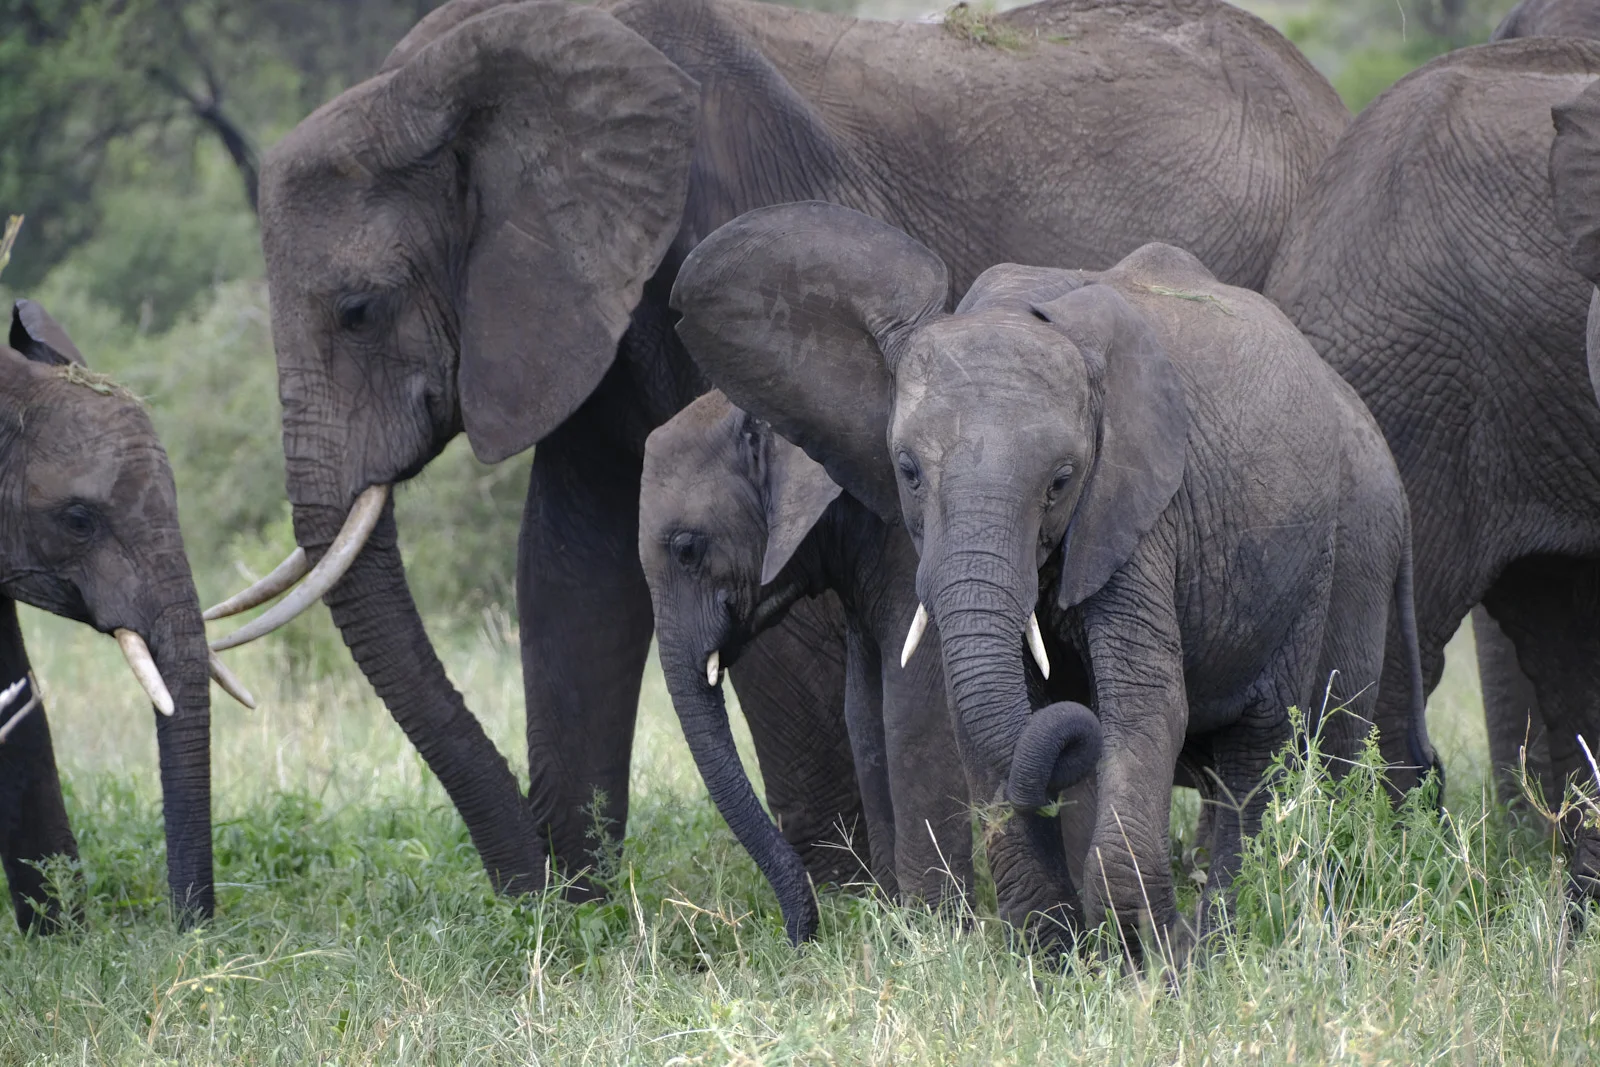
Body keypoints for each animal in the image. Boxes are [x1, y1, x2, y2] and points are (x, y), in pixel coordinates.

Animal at [639, 391, 977, 942]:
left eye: (687, 548)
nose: (800, 938)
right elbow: (863, 713)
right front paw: (893, 924)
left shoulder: (913, 548)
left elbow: (913, 707)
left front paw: (936, 935)